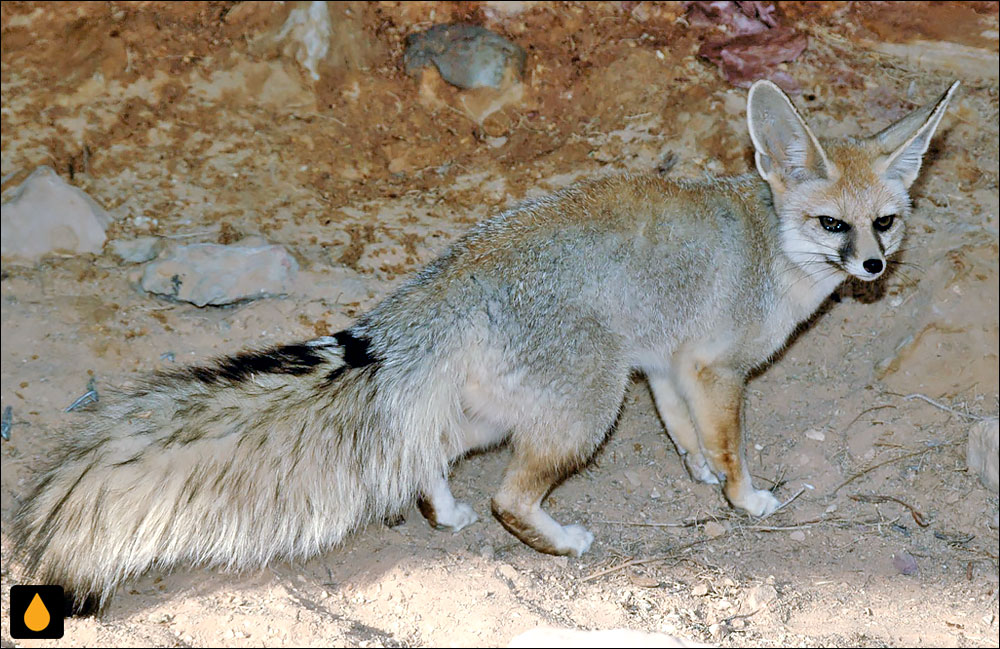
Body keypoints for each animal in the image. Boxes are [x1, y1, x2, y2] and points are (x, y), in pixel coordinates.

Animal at [9, 79, 960, 612]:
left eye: (886, 220)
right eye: (833, 224)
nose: (874, 266)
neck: (769, 247)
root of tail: (440, 282)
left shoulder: (665, 365)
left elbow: (688, 433)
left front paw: (696, 472)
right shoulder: (713, 367)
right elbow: (729, 445)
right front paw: (747, 499)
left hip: (519, 407)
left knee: (427, 460)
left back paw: (449, 511)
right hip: (588, 404)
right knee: (509, 495)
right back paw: (560, 540)